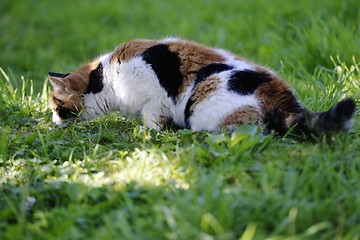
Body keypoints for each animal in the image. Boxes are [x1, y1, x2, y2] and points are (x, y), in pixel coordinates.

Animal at [49, 37, 356, 135]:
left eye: (56, 107)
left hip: (206, 106)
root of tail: (280, 93)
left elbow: (151, 118)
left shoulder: (154, 99)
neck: (106, 78)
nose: (52, 121)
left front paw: (148, 132)